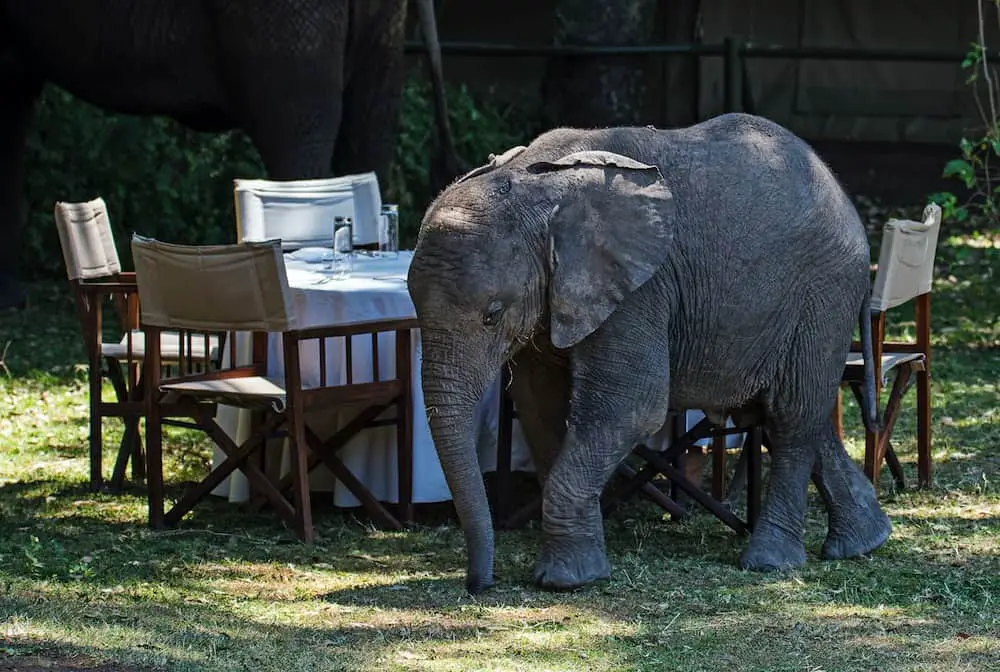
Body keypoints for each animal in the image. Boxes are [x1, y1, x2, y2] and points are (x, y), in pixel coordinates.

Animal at [406, 111, 892, 592]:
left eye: (492, 314)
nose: (482, 584)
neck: (534, 182)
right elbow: (539, 405)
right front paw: (581, 565)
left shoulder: (640, 289)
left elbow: (631, 408)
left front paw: (565, 580)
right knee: (788, 414)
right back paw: (863, 543)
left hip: (823, 291)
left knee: (791, 416)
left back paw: (770, 562)